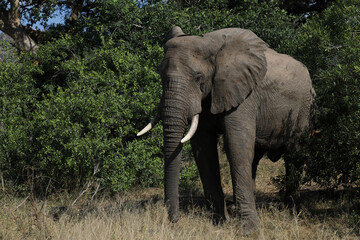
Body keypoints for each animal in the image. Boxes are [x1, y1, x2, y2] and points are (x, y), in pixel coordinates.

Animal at [138, 26, 316, 234]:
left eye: (198, 77)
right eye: (160, 75)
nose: (174, 220)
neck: (212, 45)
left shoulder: (244, 95)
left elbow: (236, 146)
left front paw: (249, 231)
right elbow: (204, 148)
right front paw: (220, 221)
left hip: (305, 109)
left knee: (295, 156)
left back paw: (292, 210)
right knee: (254, 158)